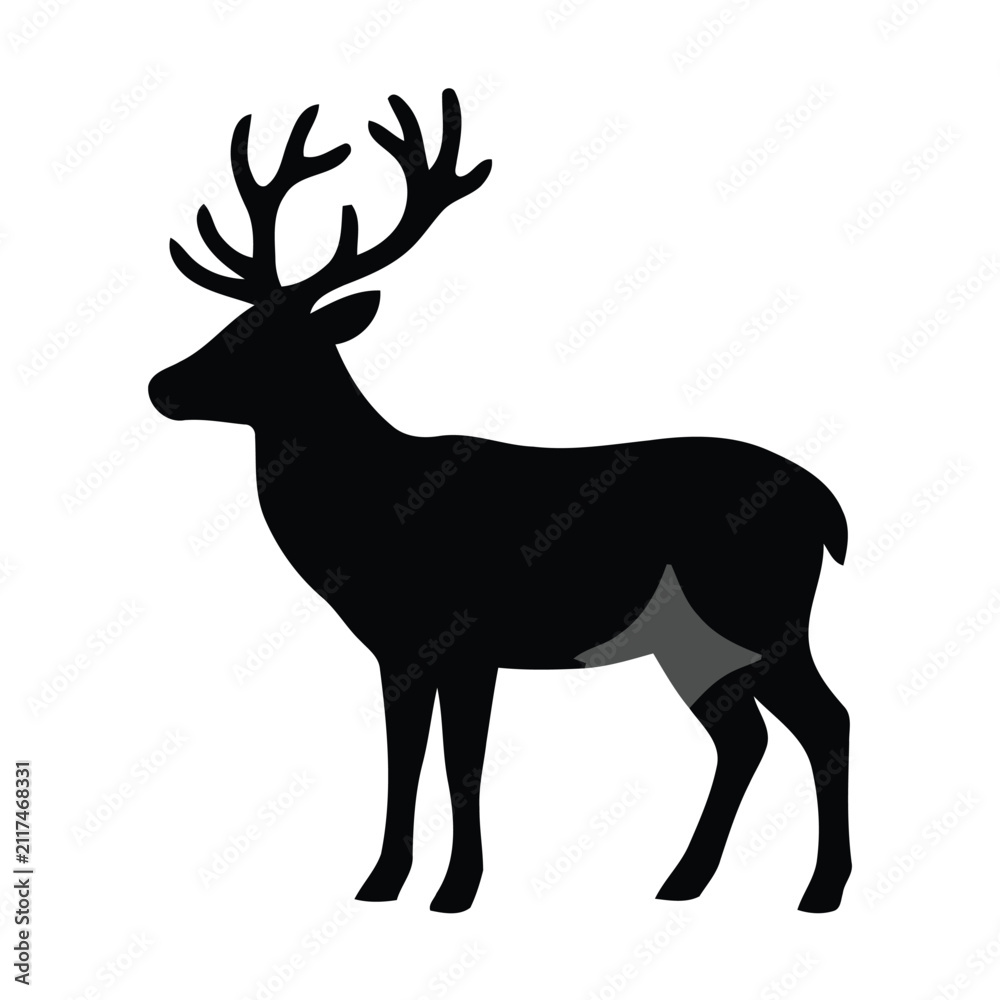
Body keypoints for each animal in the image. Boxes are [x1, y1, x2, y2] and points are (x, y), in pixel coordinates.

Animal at [149, 89, 852, 913]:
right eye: (231, 321)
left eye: (273, 339)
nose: (161, 385)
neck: (373, 511)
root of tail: (830, 511)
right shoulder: (401, 649)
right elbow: (409, 758)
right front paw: (384, 883)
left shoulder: (465, 635)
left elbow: (460, 761)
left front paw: (453, 889)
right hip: (696, 641)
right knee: (745, 737)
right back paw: (683, 881)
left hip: (757, 611)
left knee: (825, 722)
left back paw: (821, 890)